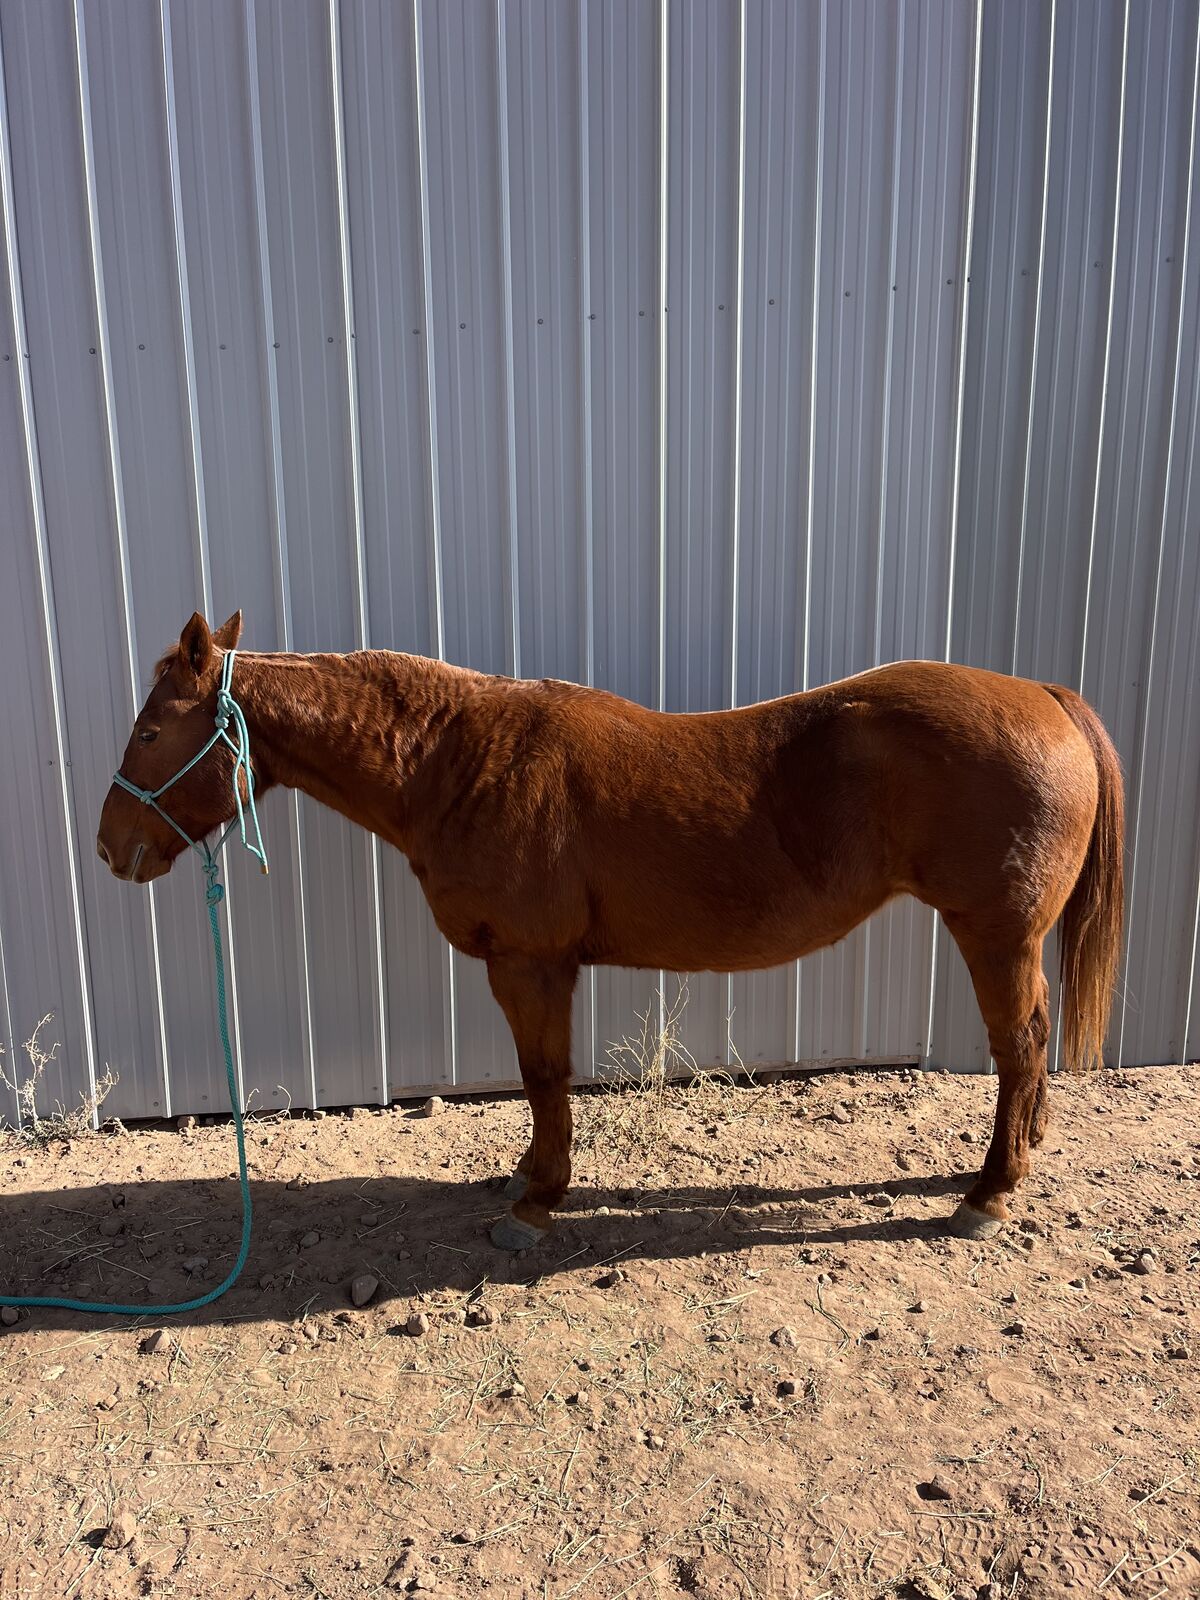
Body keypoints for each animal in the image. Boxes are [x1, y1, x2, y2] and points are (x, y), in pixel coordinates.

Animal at [97, 610, 1124, 1251]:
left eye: (149, 731)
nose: (111, 847)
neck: (457, 761)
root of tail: (1043, 694)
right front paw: (525, 1176)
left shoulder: (531, 963)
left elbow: (544, 1077)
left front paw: (537, 1201)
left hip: (995, 932)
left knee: (1020, 1045)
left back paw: (989, 1192)